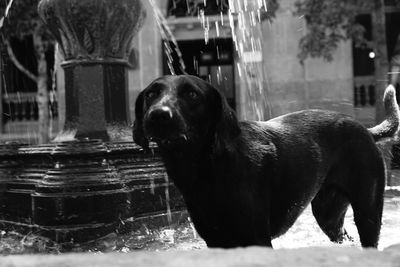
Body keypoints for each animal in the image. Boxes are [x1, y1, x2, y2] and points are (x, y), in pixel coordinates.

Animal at [132, 75, 400, 249]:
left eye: (191, 94)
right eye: (151, 94)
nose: (158, 115)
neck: (206, 167)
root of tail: (365, 130)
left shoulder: (256, 238)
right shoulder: (216, 240)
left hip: (367, 210)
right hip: (328, 215)